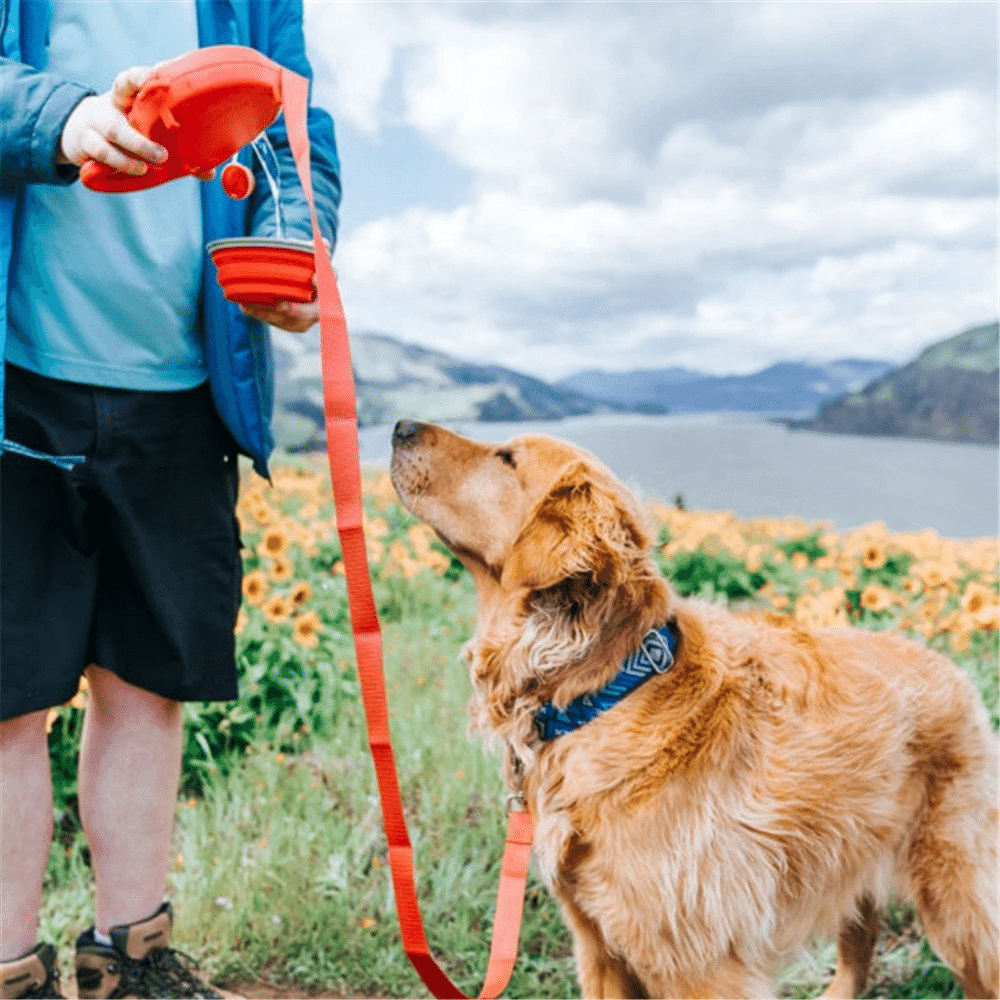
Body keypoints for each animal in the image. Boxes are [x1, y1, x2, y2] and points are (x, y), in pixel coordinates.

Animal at [388, 418, 1000, 996]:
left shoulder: (701, 964)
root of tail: (952, 668)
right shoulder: (599, 947)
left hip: (956, 898)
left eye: (506, 458)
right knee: (860, 940)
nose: (399, 427)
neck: (603, 693)